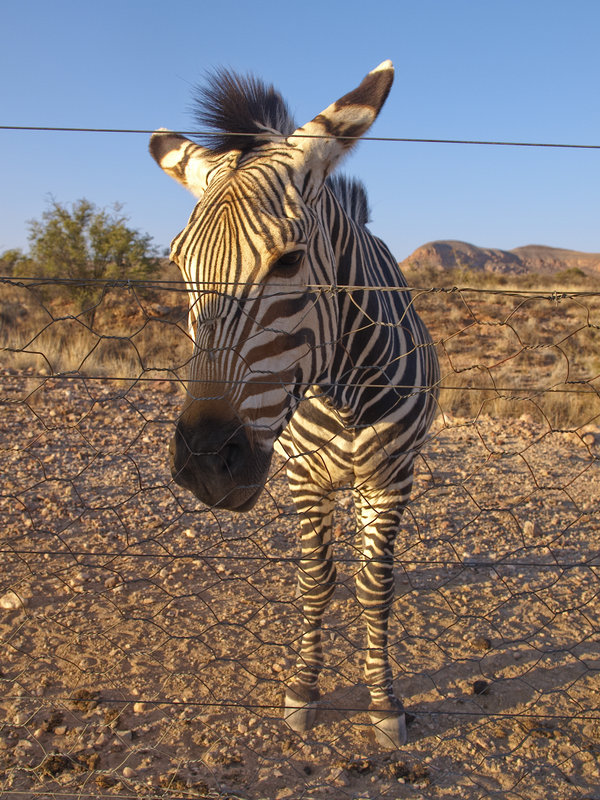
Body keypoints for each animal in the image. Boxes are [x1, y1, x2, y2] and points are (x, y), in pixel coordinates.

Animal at [149, 61, 439, 748]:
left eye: (289, 260)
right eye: (180, 264)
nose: (206, 463)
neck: (342, 388)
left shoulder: (392, 478)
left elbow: (374, 586)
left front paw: (385, 701)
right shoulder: (304, 477)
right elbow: (317, 581)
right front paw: (303, 689)